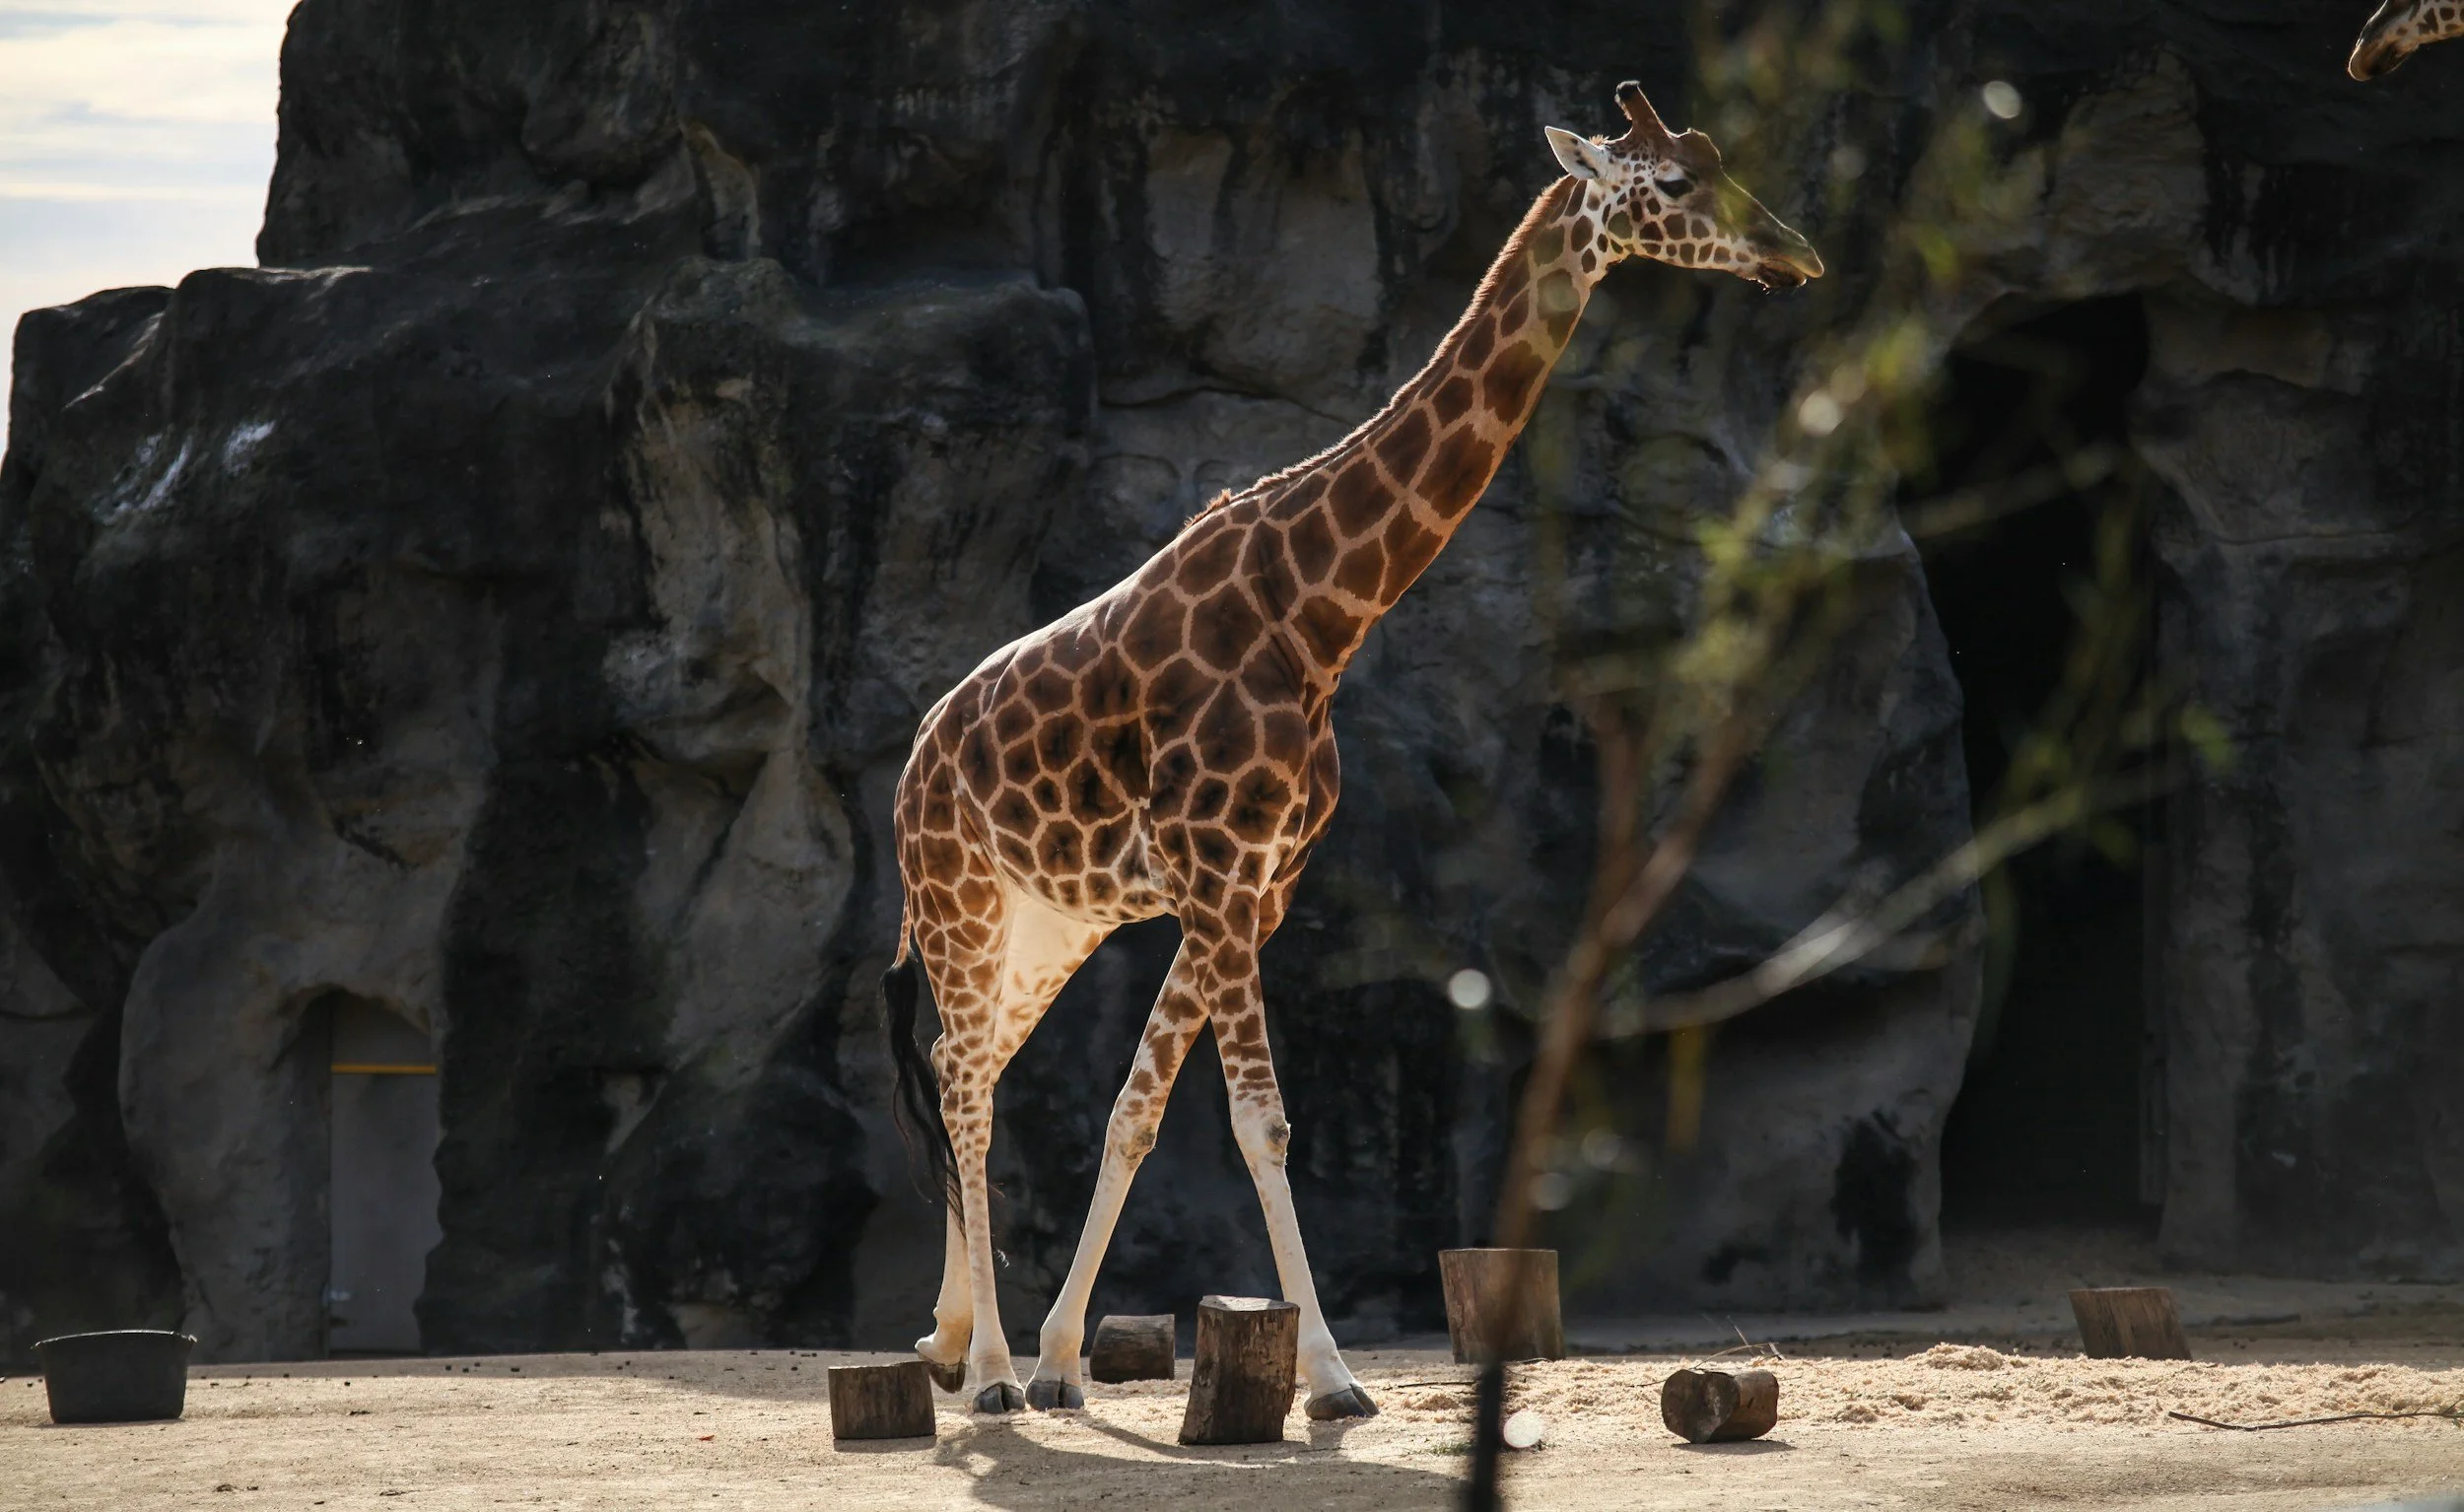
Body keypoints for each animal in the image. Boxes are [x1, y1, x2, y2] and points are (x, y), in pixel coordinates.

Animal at [881, 81, 1823, 1419]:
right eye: (1680, 185)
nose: (1795, 254)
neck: (1318, 613)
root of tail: (911, 761)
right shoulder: (1219, 875)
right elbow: (1260, 1120)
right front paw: (1327, 1377)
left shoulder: (1254, 885)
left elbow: (1136, 1108)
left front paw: (1070, 1356)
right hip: (960, 901)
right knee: (961, 1084)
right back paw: (990, 1376)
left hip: (1047, 924)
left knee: (971, 1065)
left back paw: (954, 1340)